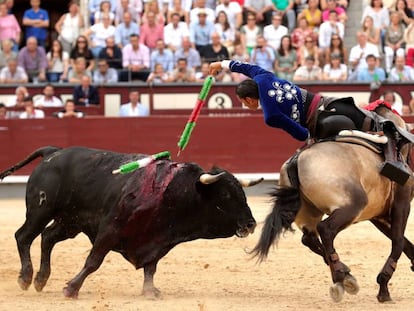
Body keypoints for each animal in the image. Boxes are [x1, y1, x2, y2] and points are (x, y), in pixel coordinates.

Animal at [0, 147, 262, 298]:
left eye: (242, 193)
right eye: (226, 195)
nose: (251, 224)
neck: (176, 192)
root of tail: (53, 152)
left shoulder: (158, 237)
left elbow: (151, 267)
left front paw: (150, 291)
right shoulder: (110, 229)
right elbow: (93, 261)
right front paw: (71, 288)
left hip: (70, 221)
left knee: (47, 238)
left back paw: (40, 279)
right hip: (41, 211)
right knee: (24, 236)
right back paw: (26, 277)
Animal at [251, 138, 414, 304]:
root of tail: (297, 159)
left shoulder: (377, 215)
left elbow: (404, 243)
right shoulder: (401, 204)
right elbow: (398, 242)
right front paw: (384, 289)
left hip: (308, 212)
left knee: (309, 238)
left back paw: (345, 274)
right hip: (353, 205)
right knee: (325, 229)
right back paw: (340, 275)